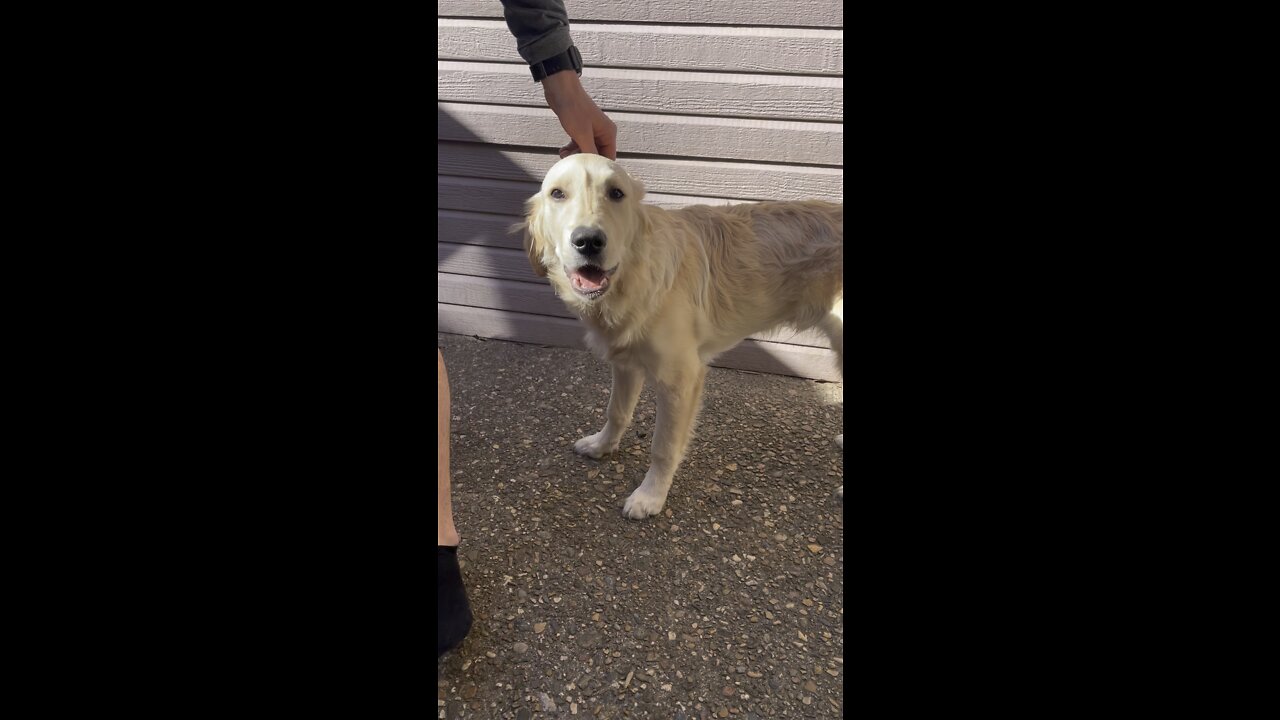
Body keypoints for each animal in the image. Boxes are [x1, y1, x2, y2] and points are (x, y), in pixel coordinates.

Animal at [517, 154, 839, 517]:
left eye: (616, 193)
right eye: (557, 194)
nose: (589, 241)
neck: (634, 275)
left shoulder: (680, 379)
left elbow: (664, 446)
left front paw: (651, 496)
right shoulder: (626, 364)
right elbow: (617, 412)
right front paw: (603, 446)